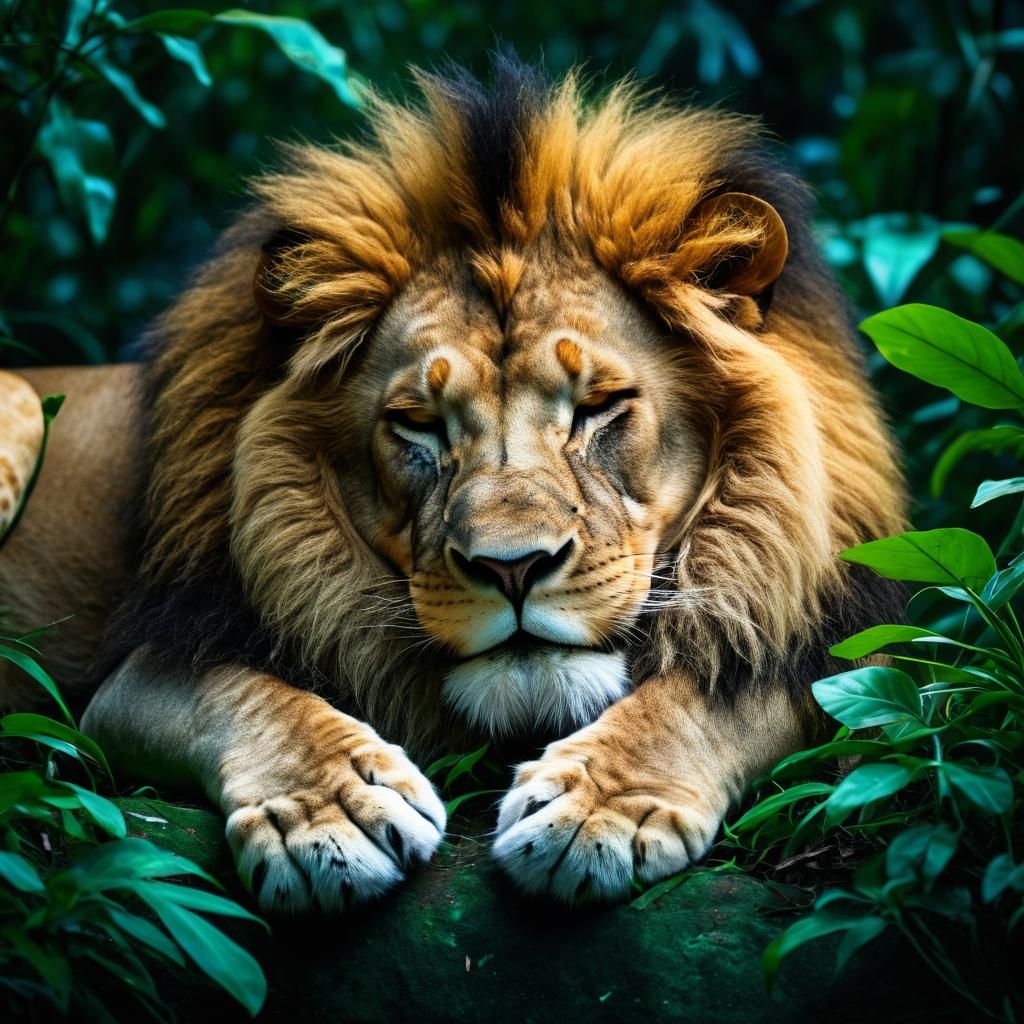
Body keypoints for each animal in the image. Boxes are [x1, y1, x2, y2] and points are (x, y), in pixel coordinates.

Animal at [0, 56, 906, 911]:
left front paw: (596, 809)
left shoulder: (835, 644)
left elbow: (708, 692)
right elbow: (248, 692)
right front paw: (337, 809)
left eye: (596, 407)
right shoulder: (137, 676)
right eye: (420, 425)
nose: (513, 568)